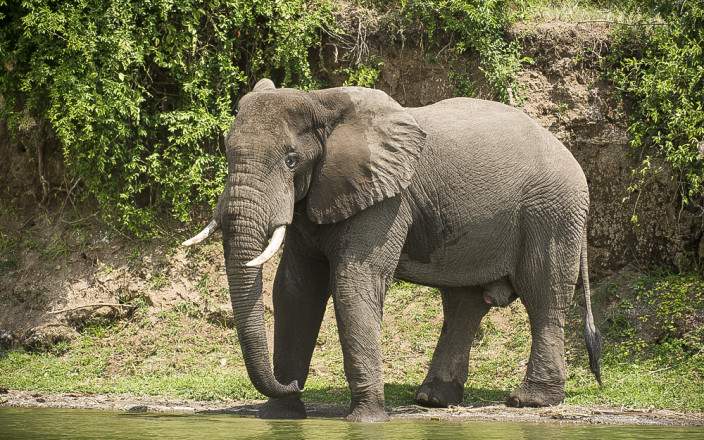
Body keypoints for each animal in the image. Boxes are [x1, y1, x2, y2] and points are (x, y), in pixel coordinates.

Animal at [183, 78, 602, 422]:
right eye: (226, 151)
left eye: (291, 160)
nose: (295, 385)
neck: (321, 101)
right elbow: (295, 290)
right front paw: (280, 417)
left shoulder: (386, 198)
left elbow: (353, 282)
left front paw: (366, 420)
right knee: (463, 304)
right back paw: (433, 400)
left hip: (551, 211)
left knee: (543, 295)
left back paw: (530, 401)